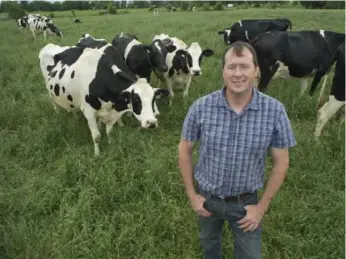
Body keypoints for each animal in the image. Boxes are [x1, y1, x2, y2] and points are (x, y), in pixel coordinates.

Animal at [38, 43, 170, 157]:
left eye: (153, 99)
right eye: (136, 100)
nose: (151, 122)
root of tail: (49, 45)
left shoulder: (110, 113)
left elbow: (109, 131)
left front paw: (111, 143)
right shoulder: (88, 111)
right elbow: (96, 136)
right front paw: (97, 154)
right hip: (49, 89)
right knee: (54, 102)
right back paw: (58, 114)